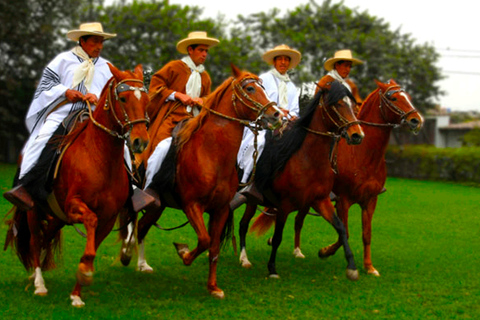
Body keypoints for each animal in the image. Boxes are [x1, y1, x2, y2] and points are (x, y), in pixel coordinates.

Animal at [3, 63, 150, 308]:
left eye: (146, 99)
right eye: (123, 98)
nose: (141, 142)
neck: (100, 158)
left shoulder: (108, 217)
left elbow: (92, 248)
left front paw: (77, 290)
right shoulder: (75, 205)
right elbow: (90, 222)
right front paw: (85, 273)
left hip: (57, 217)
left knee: (46, 237)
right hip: (34, 210)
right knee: (35, 240)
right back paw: (39, 283)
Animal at [119, 63, 284, 298]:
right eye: (250, 89)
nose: (276, 115)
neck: (212, 155)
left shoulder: (221, 209)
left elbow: (213, 247)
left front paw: (213, 286)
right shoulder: (192, 205)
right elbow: (204, 240)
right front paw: (184, 253)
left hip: (158, 205)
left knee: (142, 226)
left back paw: (142, 264)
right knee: (133, 224)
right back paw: (128, 253)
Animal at [235, 80, 364, 280]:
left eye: (353, 105)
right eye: (337, 105)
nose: (357, 135)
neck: (309, 160)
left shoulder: (320, 200)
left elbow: (341, 227)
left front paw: (351, 266)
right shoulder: (285, 205)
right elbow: (278, 237)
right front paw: (272, 268)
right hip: (248, 198)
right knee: (242, 225)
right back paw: (243, 259)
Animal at [249, 79, 422, 276]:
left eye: (407, 97)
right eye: (393, 98)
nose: (416, 120)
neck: (363, 155)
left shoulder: (370, 200)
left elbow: (366, 234)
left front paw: (369, 266)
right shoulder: (343, 200)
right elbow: (344, 232)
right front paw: (325, 251)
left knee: (298, 220)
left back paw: (297, 250)